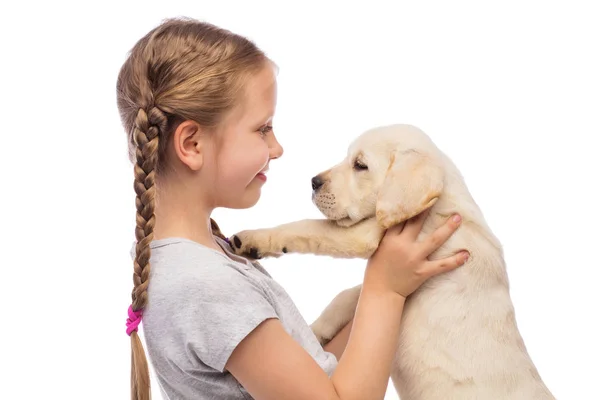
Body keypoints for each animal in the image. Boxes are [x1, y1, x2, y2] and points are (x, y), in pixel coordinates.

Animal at [227, 123, 556, 398]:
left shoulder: (366, 233)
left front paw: (254, 238)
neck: (441, 205)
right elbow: (351, 293)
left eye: (360, 165)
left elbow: (308, 228)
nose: (313, 182)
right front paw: (318, 329)